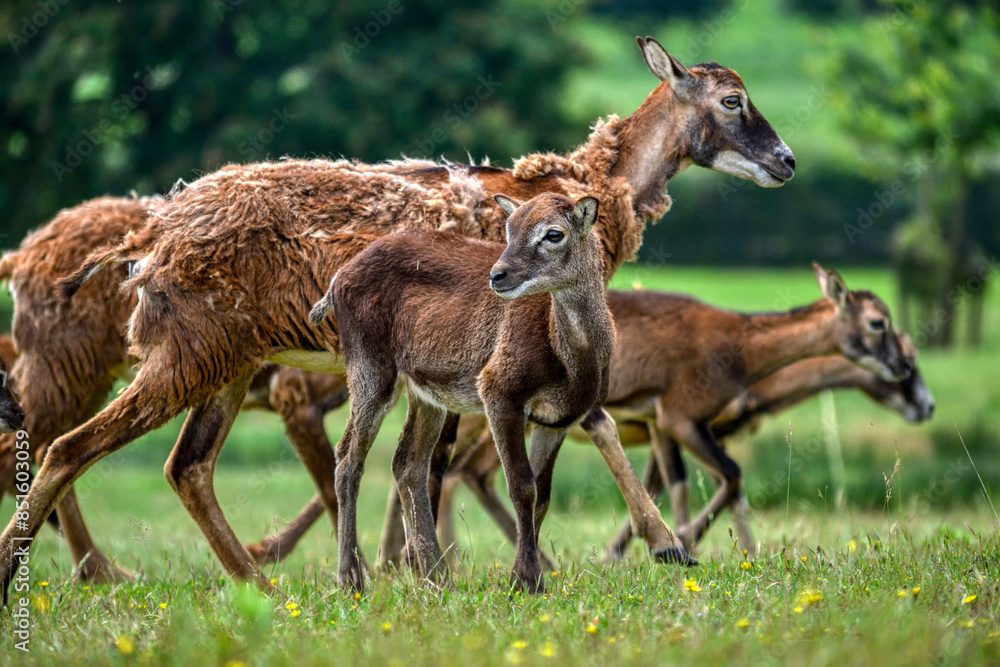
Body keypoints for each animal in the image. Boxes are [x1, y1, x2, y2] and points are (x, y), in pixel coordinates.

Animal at [310, 193, 688, 596]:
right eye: (509, 228)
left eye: (554, 233)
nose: (497, 275)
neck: (570, 365)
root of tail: (335, 282)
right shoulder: (499, 389)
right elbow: (522, 487)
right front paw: (529, 579)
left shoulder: (558, 418)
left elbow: (543, 496)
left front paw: (522, 577)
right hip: (369, 367)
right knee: (348, 458)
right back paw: (352, 579)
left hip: (426, 391)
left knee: (408, 463)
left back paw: (436, 577)